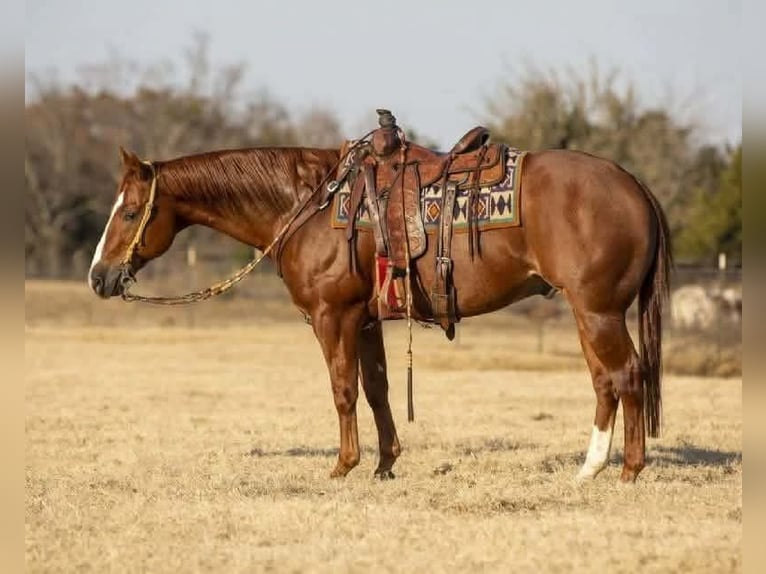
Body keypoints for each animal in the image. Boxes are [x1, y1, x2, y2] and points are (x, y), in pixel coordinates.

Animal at [88, 141, 671, 483]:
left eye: (132, 212)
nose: (99, 276)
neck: (309, 203)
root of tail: (634, 185)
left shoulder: (334, 317)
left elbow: (343, 390)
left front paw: (343, 466)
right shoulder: (366, 321)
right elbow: (376, 390)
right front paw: (385, 464)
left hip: (598, 311)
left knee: (626, 375)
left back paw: (629, 471)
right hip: (589, 313)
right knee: (606, 381)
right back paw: (590, 469)